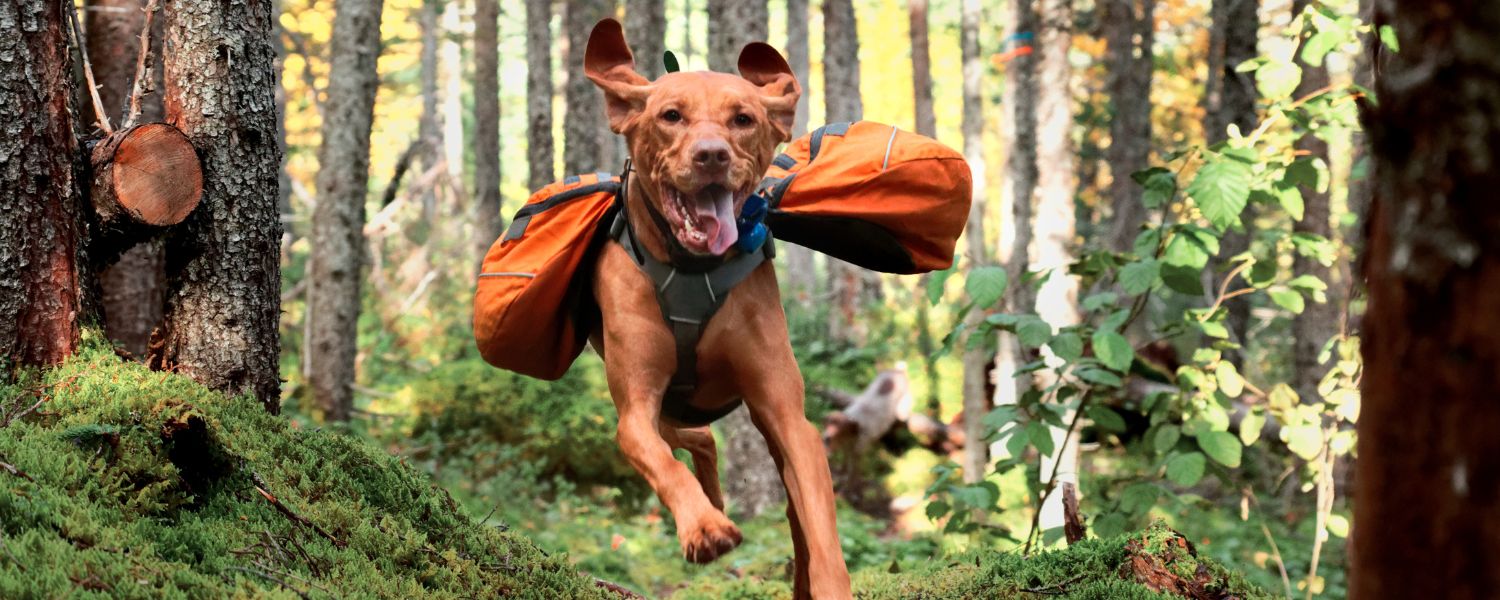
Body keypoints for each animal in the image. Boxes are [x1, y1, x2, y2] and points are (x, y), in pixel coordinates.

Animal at [582, 17, 852, 594]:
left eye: (743, 119)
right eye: (670, 116)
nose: (712, 155)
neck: (691, 268)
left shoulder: (788, 416)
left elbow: (821, 528)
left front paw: (828, 584)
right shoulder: (635, 410)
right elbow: (662, 463)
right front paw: (703, 528)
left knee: (782, 504)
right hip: (658, 407)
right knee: (694, 438)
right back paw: (712, 504)